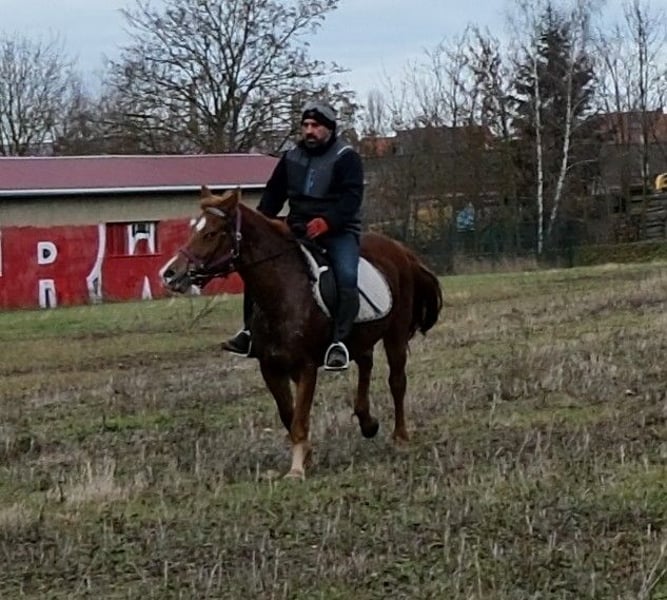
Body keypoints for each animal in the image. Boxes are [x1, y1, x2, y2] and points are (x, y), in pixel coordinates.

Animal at [161, 187, 443, 479]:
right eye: (194, 228)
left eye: (211, 233)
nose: (170, 274)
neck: (283, 292)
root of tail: (400, 249)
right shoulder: (271, 367)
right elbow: (290, 414)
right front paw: (306, 455)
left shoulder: (306, 366)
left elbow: (299, 417)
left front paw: (296, 469)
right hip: (361, 337)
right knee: (366, 364)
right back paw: (368, 423)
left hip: (395, 333)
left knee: (397, 381)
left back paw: (400, 437)